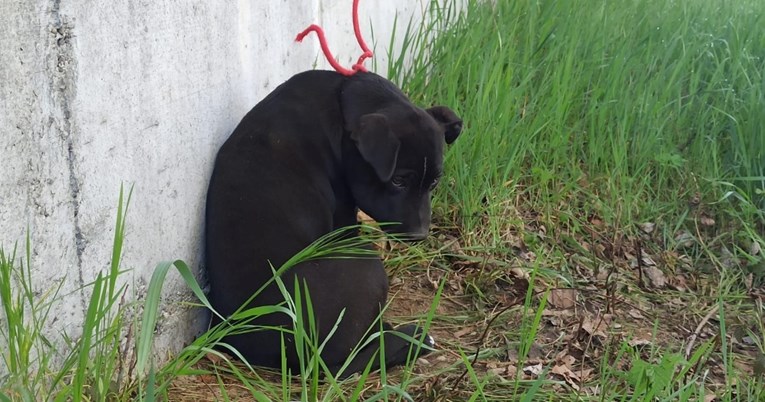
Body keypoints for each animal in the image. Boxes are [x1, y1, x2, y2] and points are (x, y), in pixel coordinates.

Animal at [204, 70, 460, 376]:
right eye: (398, 180)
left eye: (433, 183)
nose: (419, 235)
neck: (342, 100)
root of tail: (309, 361)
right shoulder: (344, 215)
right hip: (363, 259)